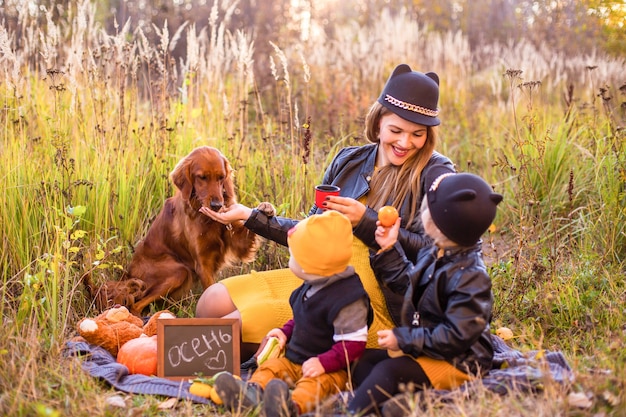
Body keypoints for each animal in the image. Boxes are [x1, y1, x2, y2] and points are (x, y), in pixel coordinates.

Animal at [95, 148, 268, 314]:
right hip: (178, 271)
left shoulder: (238, 241)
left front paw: (265, 209)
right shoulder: (203, 263)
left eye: (221, 177)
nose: (217, 205)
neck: (205, 219)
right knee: (136, 305)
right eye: (202, 177)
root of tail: (128, 274)